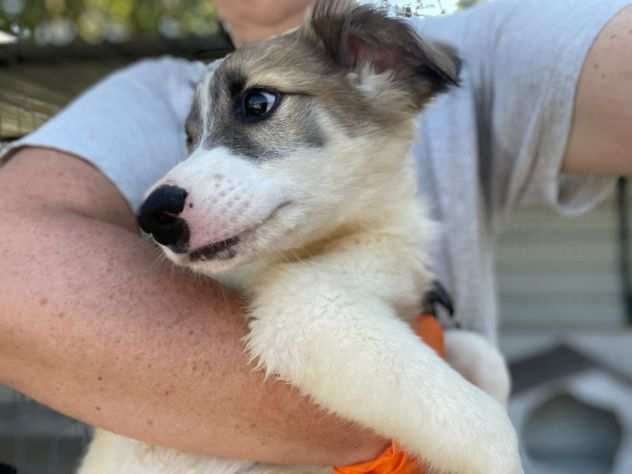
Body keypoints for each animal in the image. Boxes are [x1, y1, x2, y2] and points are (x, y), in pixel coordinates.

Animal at [81, 1, 520, 472]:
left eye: (257, 102)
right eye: (190, 137)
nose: (153, 216)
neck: (355, 232)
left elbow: (487, 359)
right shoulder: (307, 306)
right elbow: (487, 430)